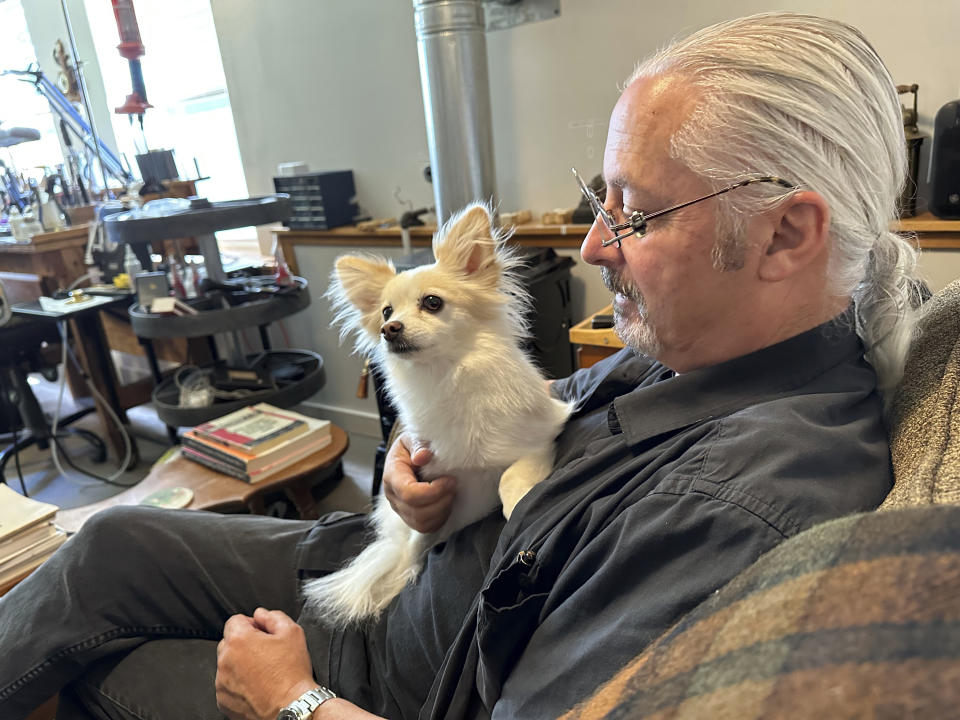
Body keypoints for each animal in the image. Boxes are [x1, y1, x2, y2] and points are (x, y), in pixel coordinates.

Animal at [308, 202, 572, 624]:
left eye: (433, 303)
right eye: (386, 311)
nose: (389, 328)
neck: (447, 376)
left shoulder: (539, 441)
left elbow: (509, 477)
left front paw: (518, 504)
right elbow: (419, 536)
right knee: (409, 549)